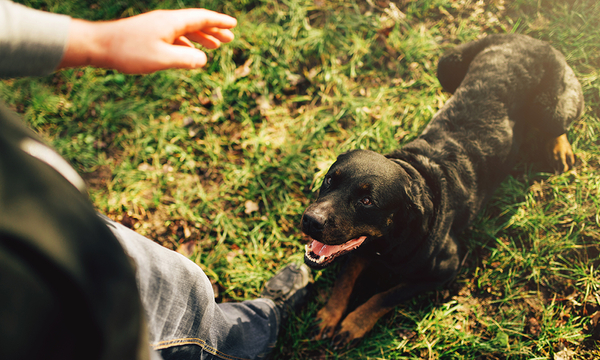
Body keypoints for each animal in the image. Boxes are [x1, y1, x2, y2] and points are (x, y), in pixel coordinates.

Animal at [302, 33, 584, 346]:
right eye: (330, 180)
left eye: (366, 201)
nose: (310, 220)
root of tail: (526, 37)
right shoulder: (357, 246)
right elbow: (346, 277)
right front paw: (330, 315)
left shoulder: (447, 267)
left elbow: (387, 295)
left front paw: (354, 323)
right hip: (447, 65)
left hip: (551, 110)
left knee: (562, 121)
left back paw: (560, 149)